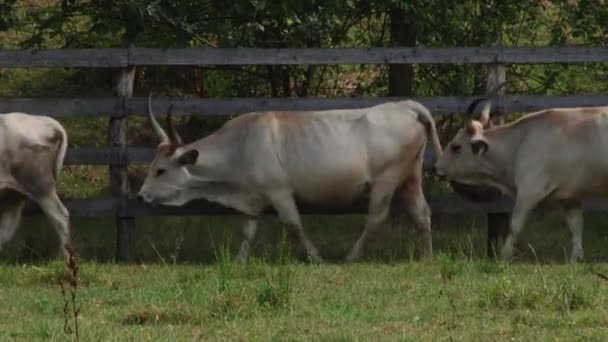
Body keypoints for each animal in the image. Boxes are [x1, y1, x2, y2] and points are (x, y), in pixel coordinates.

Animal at [0, 113, 70, 255]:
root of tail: (42, 120)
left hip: (41, 188)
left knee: (61, 217)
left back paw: (64, 256)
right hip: (14, 193)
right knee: (8, 226)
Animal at [138, 97, 442, 264]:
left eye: (160, 170)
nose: (141, 195)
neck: (240, 145)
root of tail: (405, 105)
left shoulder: (279, 191)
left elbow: (294, 224)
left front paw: (316, 257)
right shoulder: (253, 198)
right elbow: (248, 231)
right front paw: (238, 261)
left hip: (386, 179)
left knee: (376, 218)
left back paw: (351, 257)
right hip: (410, 176)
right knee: (421, 213)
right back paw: (426, 257)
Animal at [434, 85, 608, 262]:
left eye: (456, 147)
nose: (436, 167)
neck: (520, 143)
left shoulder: (529, 191)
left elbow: (515, 225)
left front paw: (504, 256)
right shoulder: (571, 196)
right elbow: (576, 226)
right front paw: (575, 258)